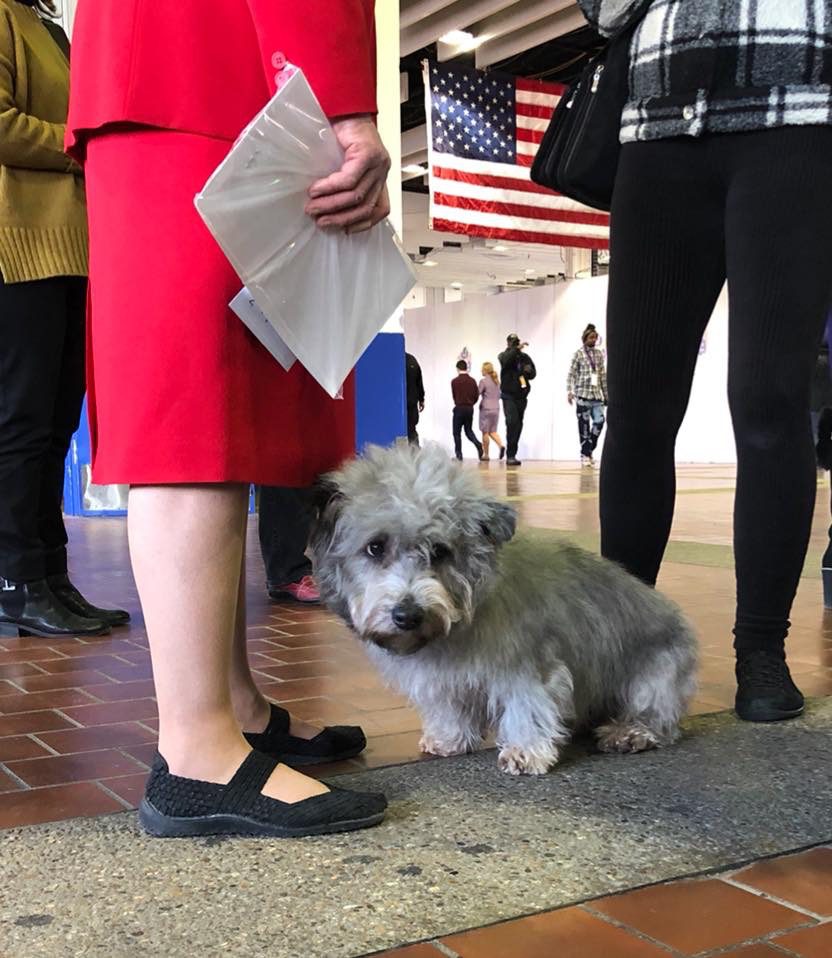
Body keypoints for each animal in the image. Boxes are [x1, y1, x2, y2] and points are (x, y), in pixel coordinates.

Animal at [308, 446, 700, 776]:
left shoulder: (529, 669)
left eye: (440, 551)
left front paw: (525, 751)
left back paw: (630, 732)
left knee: (660, 720)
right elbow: (450, 708)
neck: (466, 617)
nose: (407, 615)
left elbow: (528, 707)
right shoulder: (444, 682)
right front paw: (449, 739)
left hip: (653, 681)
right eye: (375, 547)